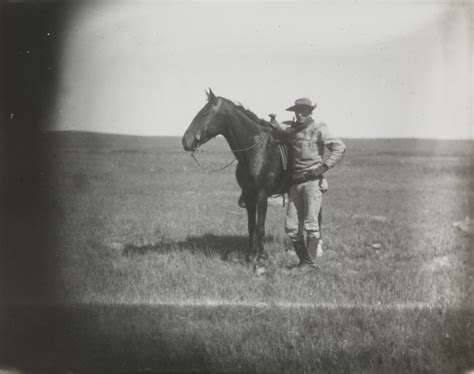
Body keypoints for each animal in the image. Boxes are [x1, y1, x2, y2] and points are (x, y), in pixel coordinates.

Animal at [182, 88, 290, 262]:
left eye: (205, 113)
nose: (185, 140)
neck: (256, 150)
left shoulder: (262, 195)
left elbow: (260, 228)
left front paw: (261, 256)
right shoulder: (249, 196)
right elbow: (251, 227)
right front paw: (250, 254)